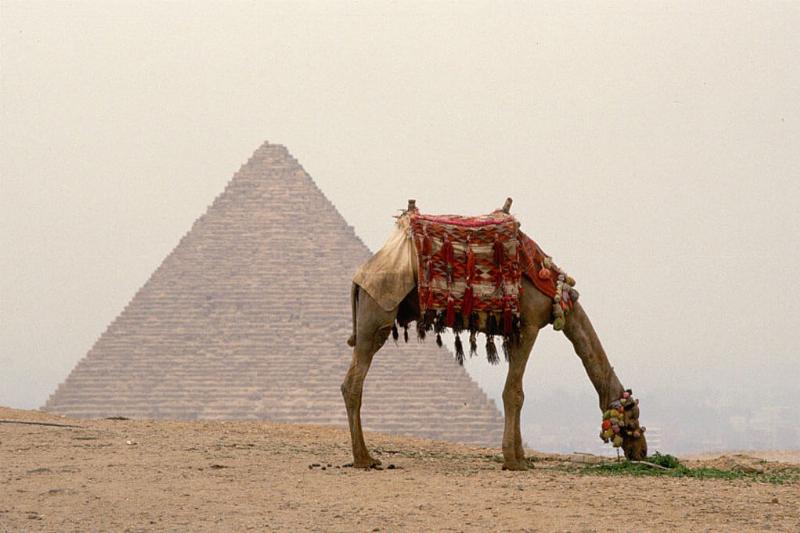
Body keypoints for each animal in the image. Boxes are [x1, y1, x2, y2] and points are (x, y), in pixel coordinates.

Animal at [341, 200, 647, 470]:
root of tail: (359, 277)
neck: (556, 292)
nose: (641, 450)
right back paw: (364, 459)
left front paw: (522, 457)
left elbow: (515, 390)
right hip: (377, 312)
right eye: (633, 413)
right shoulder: (530, 325)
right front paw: (514, 461)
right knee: (353, 382)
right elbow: (515, 392)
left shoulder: (514, 331)